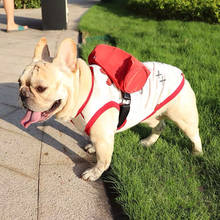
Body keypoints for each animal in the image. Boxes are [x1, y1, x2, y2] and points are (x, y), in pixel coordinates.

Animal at [18, 38, 203, 182]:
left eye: (41, 88)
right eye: (20, 82)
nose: (22, 94)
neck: (84, 91)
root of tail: (180, 72)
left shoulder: (103, 138)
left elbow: (103, 160)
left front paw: (94, 173)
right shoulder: (101, 135)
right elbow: (98, 148)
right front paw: (92, 148)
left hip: (183, 118)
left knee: (194, 135)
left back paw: (197, 153)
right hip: (149, 116)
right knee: (160, 125)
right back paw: (148, 141)